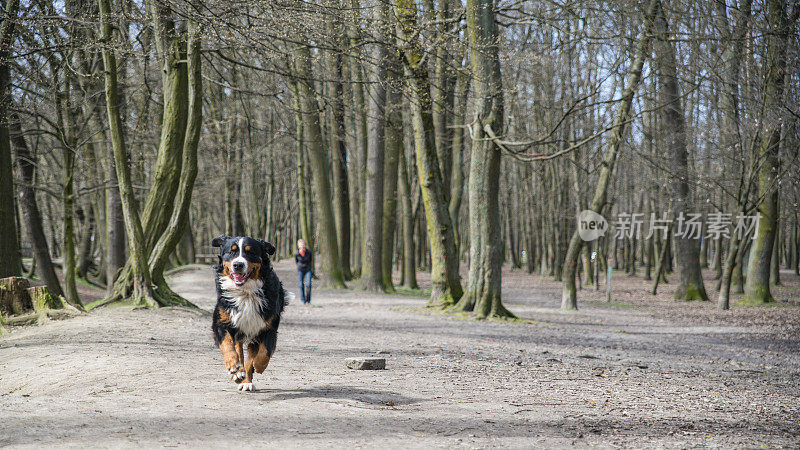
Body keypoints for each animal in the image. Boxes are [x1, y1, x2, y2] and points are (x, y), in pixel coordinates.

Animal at [211, 236, 290, 390]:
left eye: (250, 252)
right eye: (231, 252)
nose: (238, 265)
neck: (245, 292)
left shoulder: (268, 327)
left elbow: (265, 351)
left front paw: (259, 366)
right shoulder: (222, 322)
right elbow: (227, 344)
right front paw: (233, 366)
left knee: (251, 357)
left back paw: (246, 380)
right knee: (239, 351)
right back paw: (238, 375)